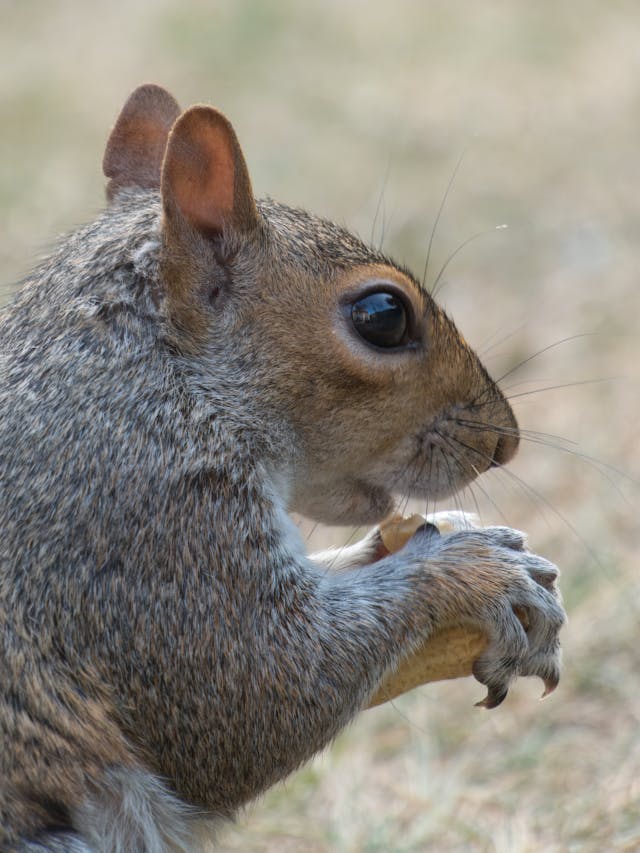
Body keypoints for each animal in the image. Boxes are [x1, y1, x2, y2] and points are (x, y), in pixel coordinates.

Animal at [0, 84, 565, 852]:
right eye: (383, 314)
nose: (503, 442)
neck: (154, 377)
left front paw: (450, 536)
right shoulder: (141, 518)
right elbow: (264, 694)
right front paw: (473, 571)